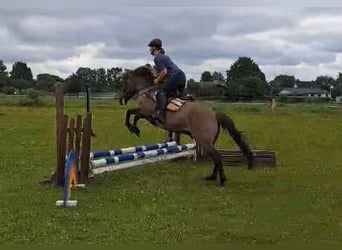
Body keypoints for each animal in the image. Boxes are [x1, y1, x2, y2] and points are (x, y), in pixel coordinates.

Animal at [119, 65, 254, 187]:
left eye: (126, 82)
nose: (122, 99)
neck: (147, 90)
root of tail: (214, 114)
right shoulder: (145, 114)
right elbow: (133, 114)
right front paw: (135, 129)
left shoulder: (146, 114)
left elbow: (131, 114)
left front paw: (133, 129)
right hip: (209, 141)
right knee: (214, 157)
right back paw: (212, 177)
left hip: (204, 141)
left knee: (217, 157)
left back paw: (221, 181)